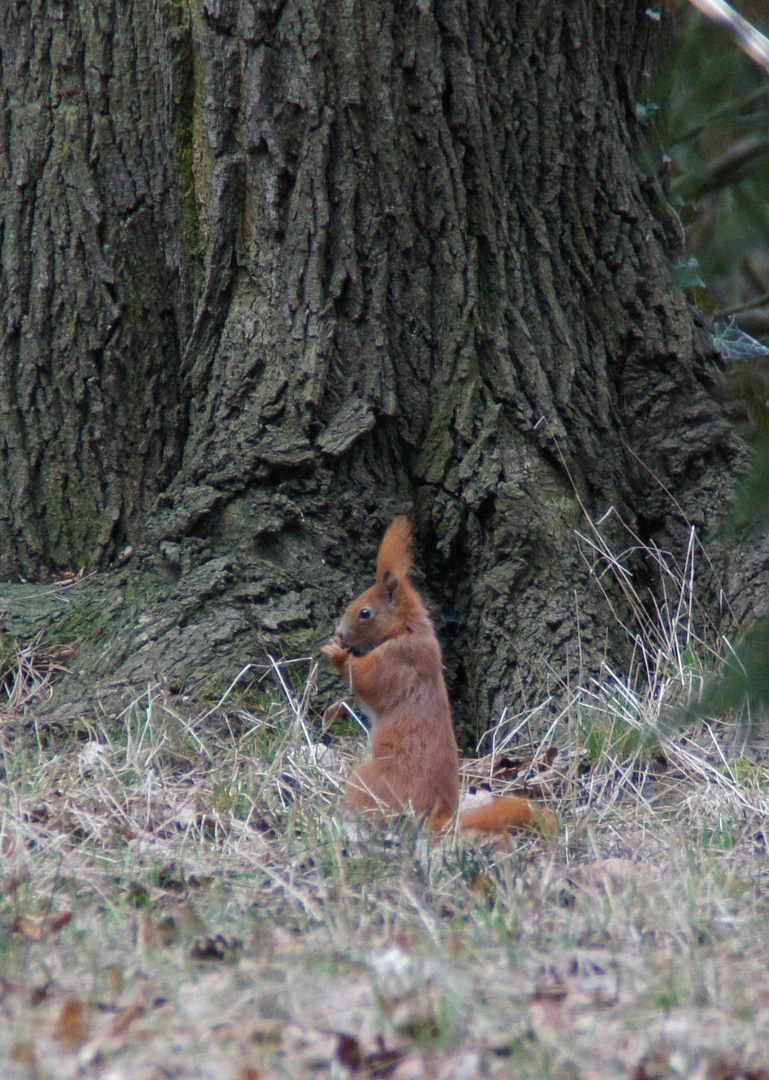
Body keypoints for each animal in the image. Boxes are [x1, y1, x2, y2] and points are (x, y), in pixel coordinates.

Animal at [321, 518, 557, 838]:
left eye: (365, 612)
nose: (341, 633)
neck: (408, 629)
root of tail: (439, 817)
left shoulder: (399, 661)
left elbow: (366, 680)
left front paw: (335, 653)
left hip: (367, 781)